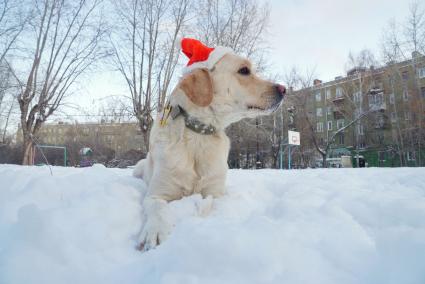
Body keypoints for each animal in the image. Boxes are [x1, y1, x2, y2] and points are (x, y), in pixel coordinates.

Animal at [132, 38, 284, 251]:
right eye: (244, 70)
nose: (284, 89)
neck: (199, 134)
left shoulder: (216, 192)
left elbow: (210, 202)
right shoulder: (156, 194)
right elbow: (157, 208)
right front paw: (155, 231)